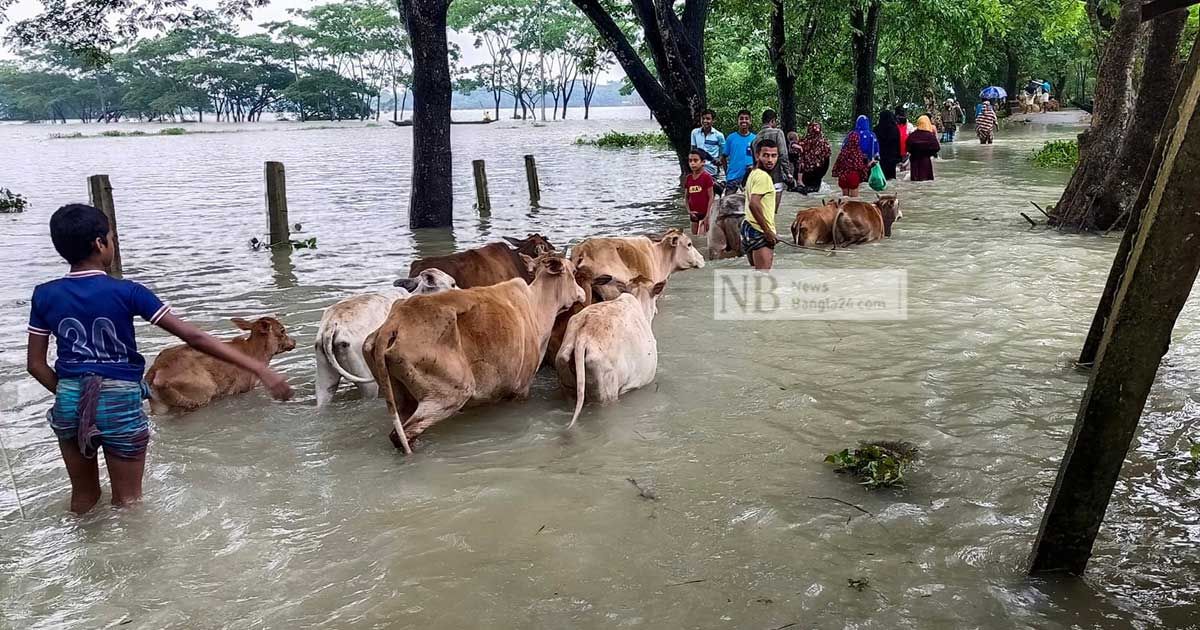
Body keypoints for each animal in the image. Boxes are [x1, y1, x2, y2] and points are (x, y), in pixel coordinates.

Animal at [146, 314, 296, 412]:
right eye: (282, 330)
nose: (294, 341)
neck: (258, 354)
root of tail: (155, 370)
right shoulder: (242, 388)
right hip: (202, 392)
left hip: (159, 407)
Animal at [369, 252, 585, 451]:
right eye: (574, 272)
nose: (582, 293)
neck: (536, 305)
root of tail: (394, 323)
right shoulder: (521, 389)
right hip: (448, 395)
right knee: (403, 434)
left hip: (402, 398)